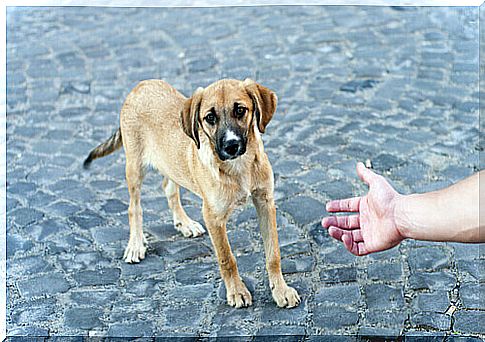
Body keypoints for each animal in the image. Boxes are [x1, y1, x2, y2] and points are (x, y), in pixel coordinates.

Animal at [85, 79, 300, 308]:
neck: (239, 166)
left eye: (240, 110)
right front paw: (237, 292)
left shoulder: (265, 202)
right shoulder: (213, 217)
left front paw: (281, 290)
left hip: (169, 164)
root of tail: (141, 85)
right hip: (134, 167)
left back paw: (184, 223)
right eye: (210, 118)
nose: (231, 146)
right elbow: (227, 258)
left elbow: (273, 254)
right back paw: (135, 244)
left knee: (169, 188)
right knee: (134, 207)